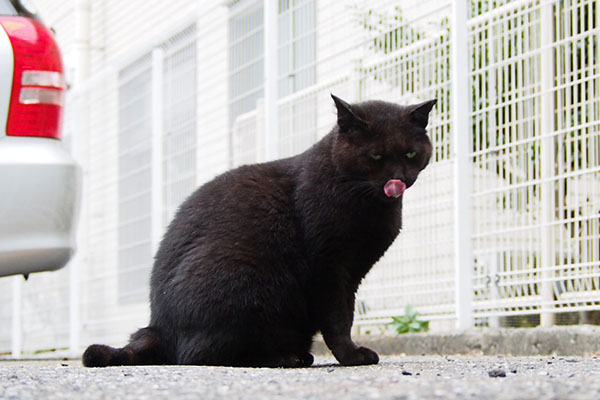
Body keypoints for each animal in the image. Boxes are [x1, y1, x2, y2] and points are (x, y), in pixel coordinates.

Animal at [83, 94, 436, 368]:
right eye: (375, 155)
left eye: (410, 153)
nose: (398, 178)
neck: (368, 203)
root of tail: (156, 326)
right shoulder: (329, 270)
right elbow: (339, 319)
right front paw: (351, 356)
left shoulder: (351, 273)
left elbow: (345, 316)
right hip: (246, 282)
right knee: (202, 356)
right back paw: (284, 358)